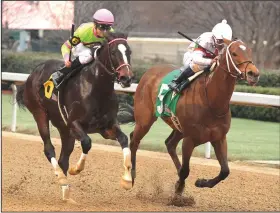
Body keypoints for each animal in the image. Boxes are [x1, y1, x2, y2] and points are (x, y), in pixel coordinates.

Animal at [16, 31, 135, 203]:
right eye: (113, 52)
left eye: (129, 52)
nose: (127, 78)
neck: (97, 88)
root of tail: (33, 73)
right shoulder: (74, 123)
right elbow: (87, 142)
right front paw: (76, 169)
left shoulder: (106, 127)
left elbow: (124, 139)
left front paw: (126, 180)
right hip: (40, 114)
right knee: (49, 149)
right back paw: (61, 178)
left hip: (64, 128)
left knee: (63, 159)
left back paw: (66, 193)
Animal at [122, 37, 260, 195]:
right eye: (234, 53)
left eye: (250, 51)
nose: (253, 74)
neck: (212, 101)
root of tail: (150, 71)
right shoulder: (190, 139)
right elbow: (185, 170)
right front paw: (178, 189)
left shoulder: (219, 138)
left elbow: (225, 171)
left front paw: (200, 182)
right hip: (145, 120)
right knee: (134, 140)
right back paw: (131, 176)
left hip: (178, 127)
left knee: (169, 144)